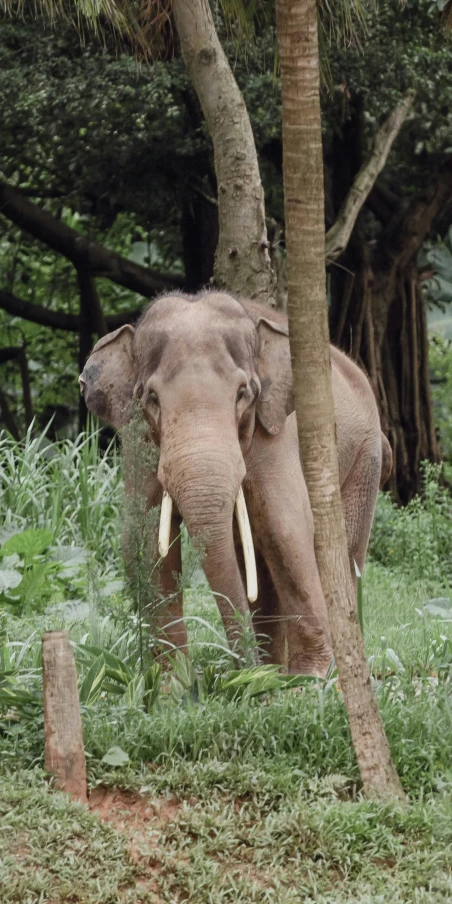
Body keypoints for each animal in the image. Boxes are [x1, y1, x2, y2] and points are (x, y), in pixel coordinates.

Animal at [79, 288, 390, 672]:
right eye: (151, 398)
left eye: (243, 392)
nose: (242, 670)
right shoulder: (138, 444)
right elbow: (142, 537)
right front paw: (175, 683)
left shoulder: (276, 431)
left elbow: (284, 528)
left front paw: (311, 677)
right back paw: (273, 667)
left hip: (364, 459)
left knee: (338, 552)